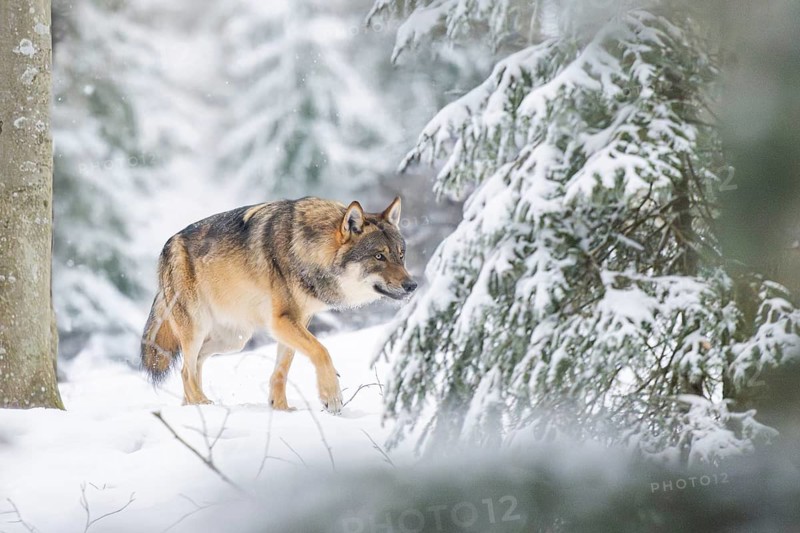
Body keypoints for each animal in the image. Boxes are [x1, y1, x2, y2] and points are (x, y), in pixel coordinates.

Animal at [140, 197, 416, 413]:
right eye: (379, 256)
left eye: (401, 255)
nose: (412, 285)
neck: (308, 250)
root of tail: (166, 247)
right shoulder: (282, 320)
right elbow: (322, 351)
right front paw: (332, 397)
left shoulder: (298, 321)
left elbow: (282, 369)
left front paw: (281, 409)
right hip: (197, 327)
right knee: (185, 370)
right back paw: (202, 405)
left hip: (234, 340)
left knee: (195, 363)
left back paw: (194, 405)